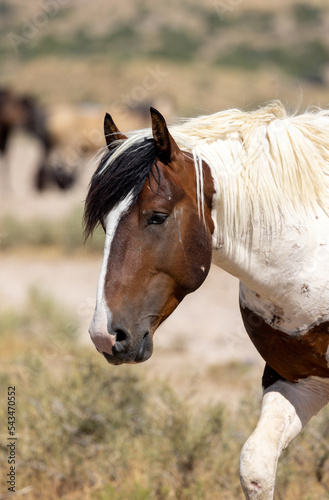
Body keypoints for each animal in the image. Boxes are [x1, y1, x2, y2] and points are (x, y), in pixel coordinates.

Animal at [82, 102, 329, 500]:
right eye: (105, 223)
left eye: (157, 216)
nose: (105, 335)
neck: (313, 251)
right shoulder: (299, 378)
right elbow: (255, 466)